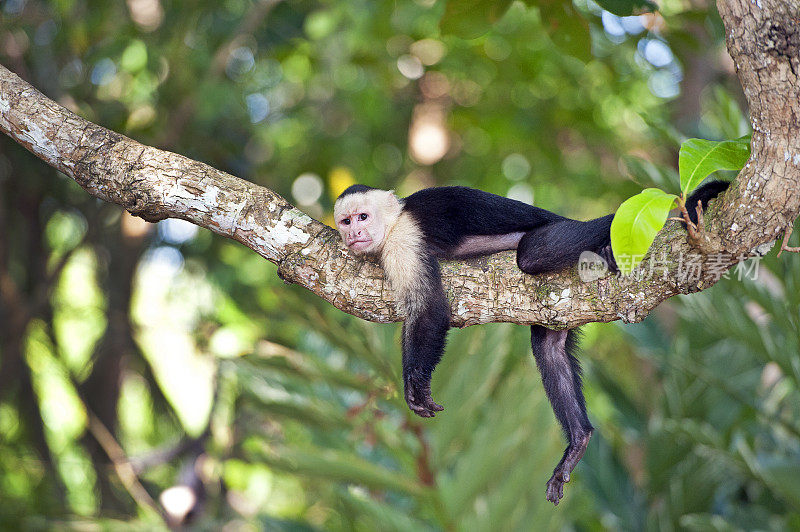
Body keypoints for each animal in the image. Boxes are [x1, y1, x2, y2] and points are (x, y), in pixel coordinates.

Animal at [334, 181, 728, 504]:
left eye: (363, 217)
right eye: (345, 221)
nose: (354, 233)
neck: (393, 223)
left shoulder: (405, 239)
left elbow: (430, 308)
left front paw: (416, 385)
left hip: (561, 227)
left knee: (538, 249)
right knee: (548, 347)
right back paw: (579, 440)